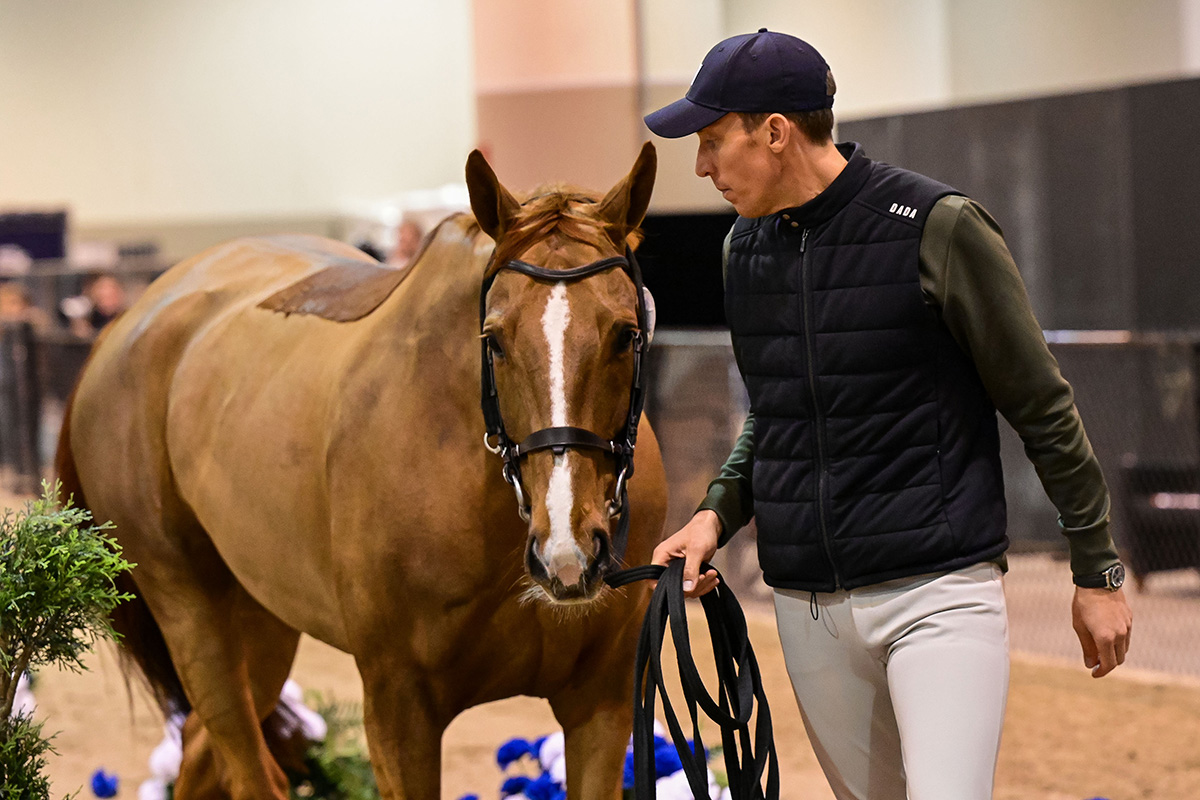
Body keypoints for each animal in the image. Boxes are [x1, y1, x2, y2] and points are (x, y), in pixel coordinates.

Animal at [56, 145, 672, 800]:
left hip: (263, 617)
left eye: (626, 333)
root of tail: (123, 328)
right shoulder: (399, 710)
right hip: (189, 610)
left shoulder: (600, 704)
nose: (567, 551)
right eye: (494, 339)